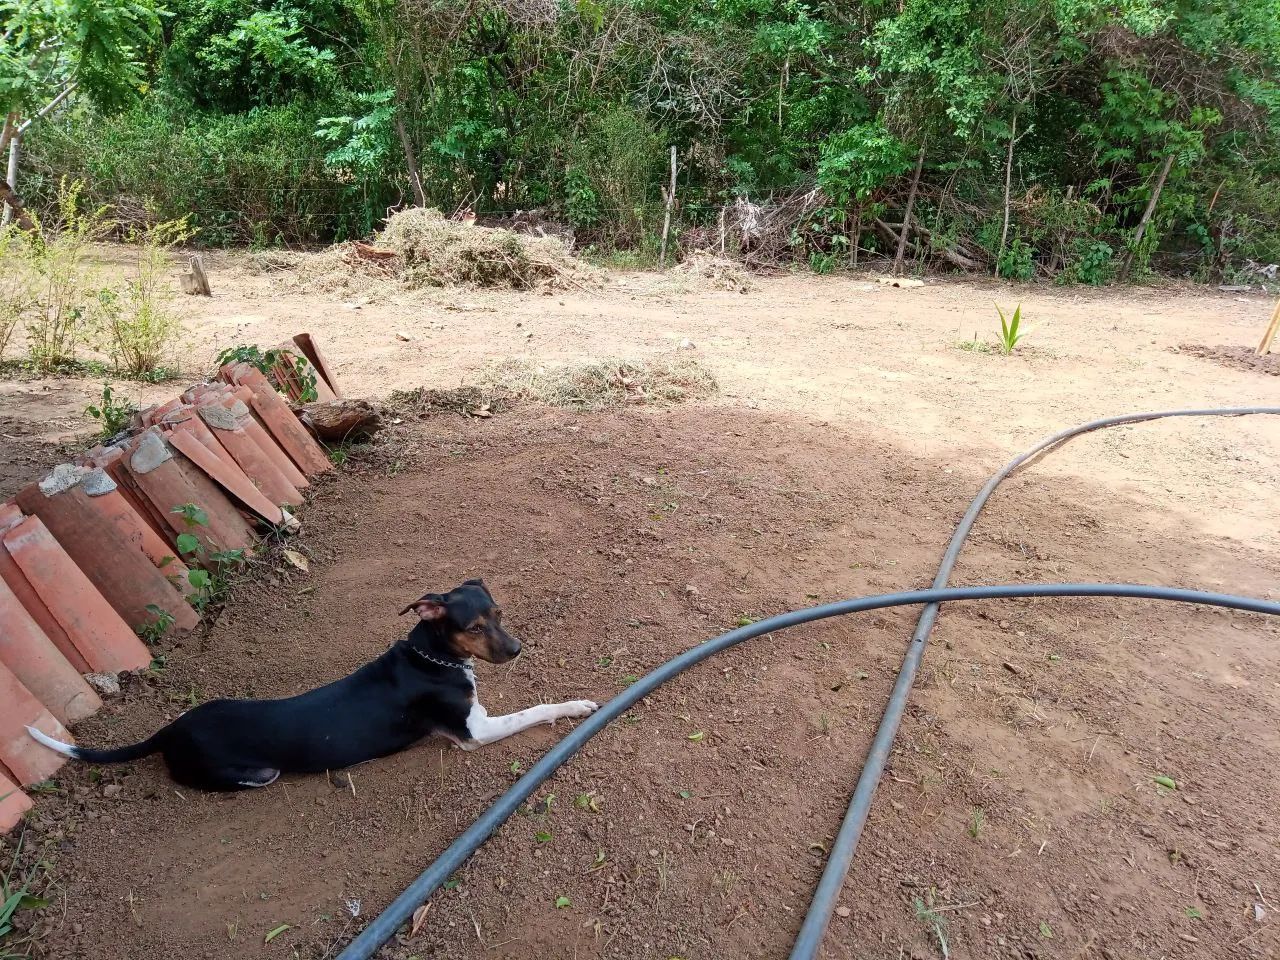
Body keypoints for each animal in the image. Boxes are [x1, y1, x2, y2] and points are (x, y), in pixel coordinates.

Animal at [24, 583, 593, 793]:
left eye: (498, 614)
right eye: (473, 627)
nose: (517, 650)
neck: (429, 657)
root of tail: (169, 730)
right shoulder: (475, 731)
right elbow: (537, 708)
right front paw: (579, 705)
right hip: (257, 773)